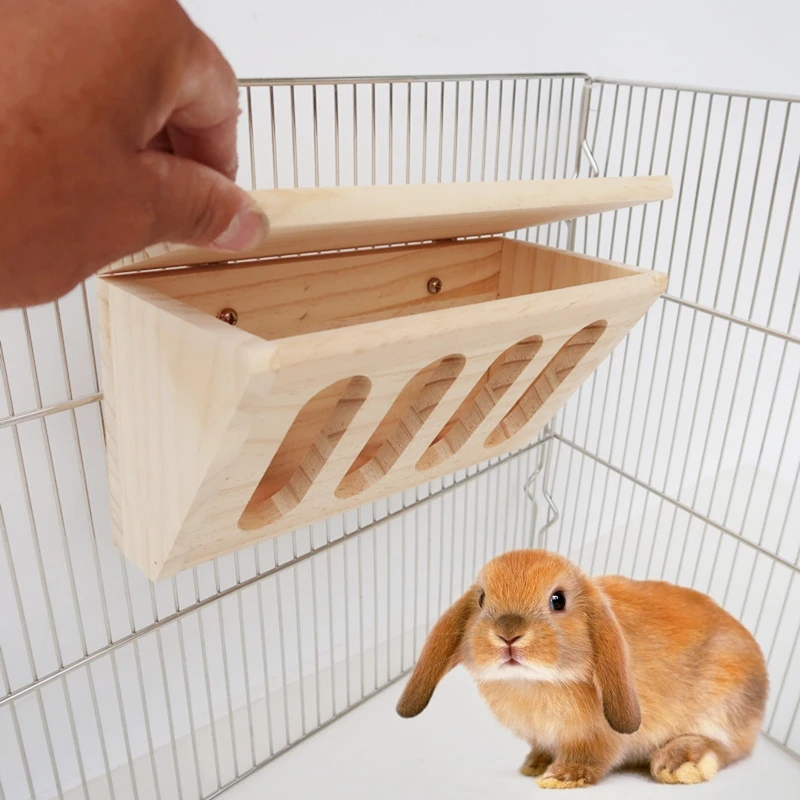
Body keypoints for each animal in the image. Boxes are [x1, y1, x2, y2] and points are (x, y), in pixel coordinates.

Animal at [396, 549, 768, 789]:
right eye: (482, 599)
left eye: (558, 600)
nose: (508, 634)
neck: (533, 682)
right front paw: (534, 765)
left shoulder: (598, 737)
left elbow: (591, 758)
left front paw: (560, 778)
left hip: (723, 704)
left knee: (727, 748)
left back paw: (679, 764)